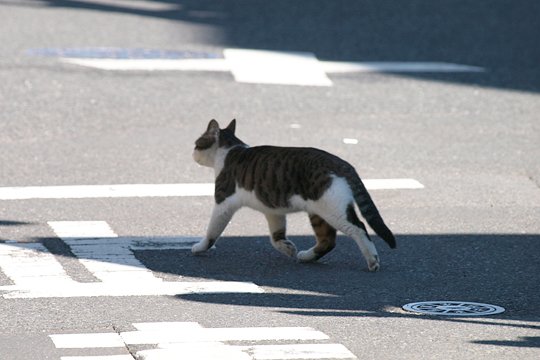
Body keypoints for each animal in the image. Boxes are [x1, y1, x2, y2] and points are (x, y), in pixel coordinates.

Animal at [192, 119, 394, 272]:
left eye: (196, 143)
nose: (192, 153)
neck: (230, 149)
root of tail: (342, 163)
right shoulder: (272, 210)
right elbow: (276, 236)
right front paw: (288, 248)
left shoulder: (223, 203)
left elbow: (212, 232)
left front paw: (200, 247)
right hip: (318, 212)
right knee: (328, 240)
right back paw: (306, 256)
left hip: (333, 211)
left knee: (359, 228)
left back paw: (372, 260)